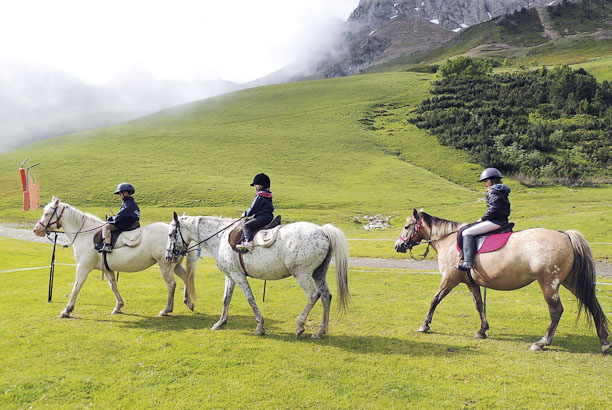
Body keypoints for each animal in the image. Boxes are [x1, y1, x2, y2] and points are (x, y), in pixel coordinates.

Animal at [33, 198, 197, 318]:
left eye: (47, 213)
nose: (36, 229)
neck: (86, 234)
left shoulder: (83, 267)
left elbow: (76, 287)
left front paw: (67, 310)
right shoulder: (106, 269)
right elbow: (113, 285)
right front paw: (118, 306)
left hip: (165, 265)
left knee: (171, 285)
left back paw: (167, 309)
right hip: (175, 265)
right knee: (185, 278)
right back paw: (188, 302)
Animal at [166, 213, 350, 338]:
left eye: (170, 234)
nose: (168, 256)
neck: (220, 237)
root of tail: (322, 230)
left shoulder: (238, 276)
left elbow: (250, 299)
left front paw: (260, 326)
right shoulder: (231, 275)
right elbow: (226, 299)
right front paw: (220, 323)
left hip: (302, 274)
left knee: (313, 295)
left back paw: (300, 326)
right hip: (319, 273)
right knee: (326, 296)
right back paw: (321, 331)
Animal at [394, 208, 608, 352]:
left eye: (406, 226)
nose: (398, 246)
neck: (448, 240)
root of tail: (565, 236)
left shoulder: (449, 280)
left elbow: (435, 300)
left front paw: (424, 325)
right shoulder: (471, 283)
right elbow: (479, 304)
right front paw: (482, 330)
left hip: (549, 283)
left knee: (556, 311)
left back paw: (542, 343)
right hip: (570, 282)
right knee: (593, 305)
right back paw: (605, 342)